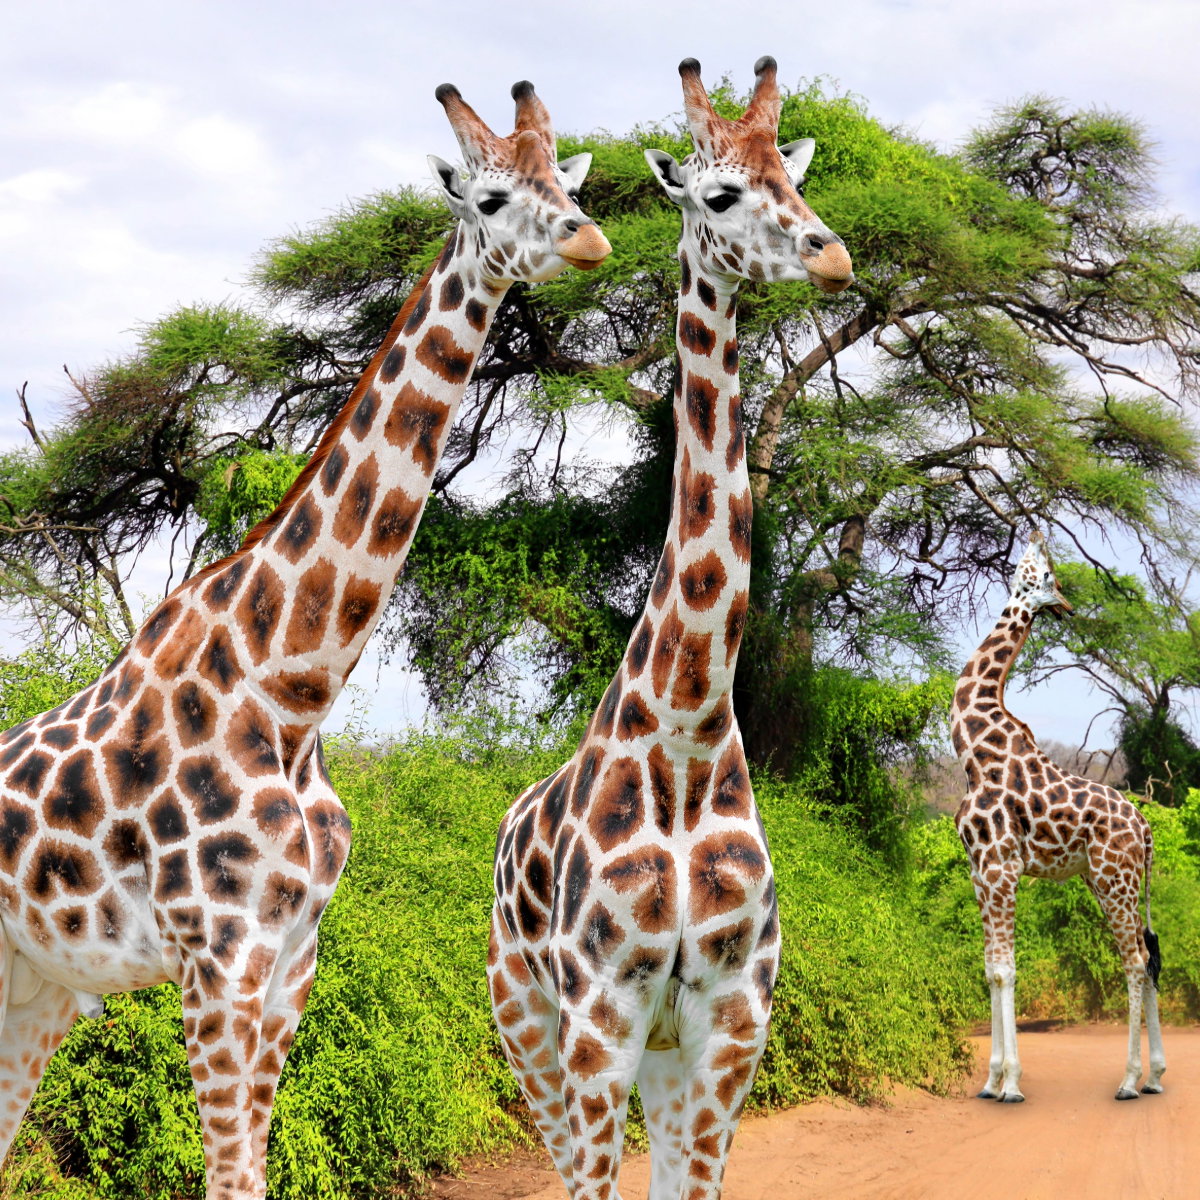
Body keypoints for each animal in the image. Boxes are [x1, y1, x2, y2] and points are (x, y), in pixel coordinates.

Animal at [0, 81, 609, 1198]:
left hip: (41, 981)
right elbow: (229, 1177)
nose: (589, 238)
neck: (290, 689)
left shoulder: (290, 963)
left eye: (565, 183)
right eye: (492, 196)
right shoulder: (217, 960)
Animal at [487, 56, 853, 1200]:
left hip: (648, 1052)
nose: (836, 254)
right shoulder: (600, 1016)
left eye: (794, 177)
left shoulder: (730, 1022)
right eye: (723, 194)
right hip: (525, 1019)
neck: (689, 725)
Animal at [953, 530, 1165, 1103]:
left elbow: (1006, 970)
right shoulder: (980, 870)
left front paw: (1011, 1084)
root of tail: (1146, 830)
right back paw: (1156, 1076)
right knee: (1150, 957)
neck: (972, 750)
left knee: (1135, 962)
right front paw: (990, 1081)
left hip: (1115, 880)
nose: (1067, 605)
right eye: (1045, 575)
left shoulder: (1001, 868)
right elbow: (990, 969)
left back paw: (1129, 1081)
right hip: (1109, 880)